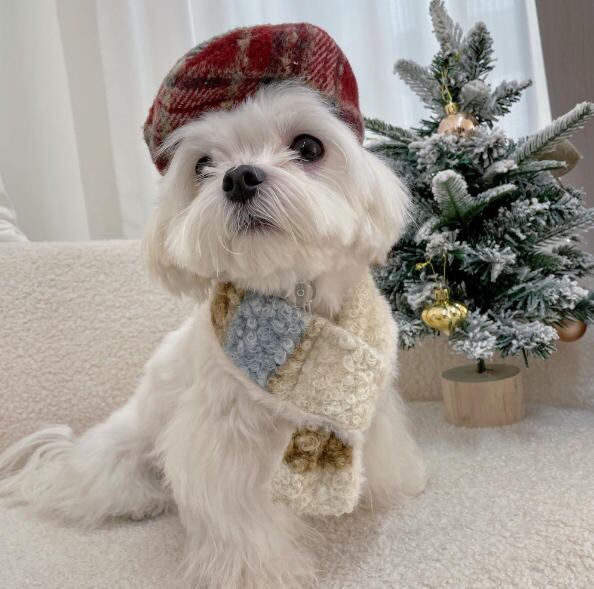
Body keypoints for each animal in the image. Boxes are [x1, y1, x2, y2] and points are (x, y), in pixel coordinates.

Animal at [0, 82, 426, 588]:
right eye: (202, 166)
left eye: (308, 146)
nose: (239, 177)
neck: (295, 299)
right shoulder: (223, 441)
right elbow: (239, 518)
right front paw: (254, 573)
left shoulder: (365, 408)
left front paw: (385, 489)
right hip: (125, 450)